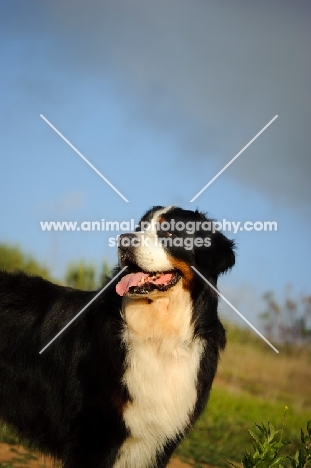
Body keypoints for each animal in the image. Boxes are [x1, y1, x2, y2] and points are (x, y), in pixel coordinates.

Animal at [0, 207, 235, 466]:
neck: (159, 337)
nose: (124, 240)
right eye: (140, 227)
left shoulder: (159, 444)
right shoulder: (96, 436)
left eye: (170, 232)